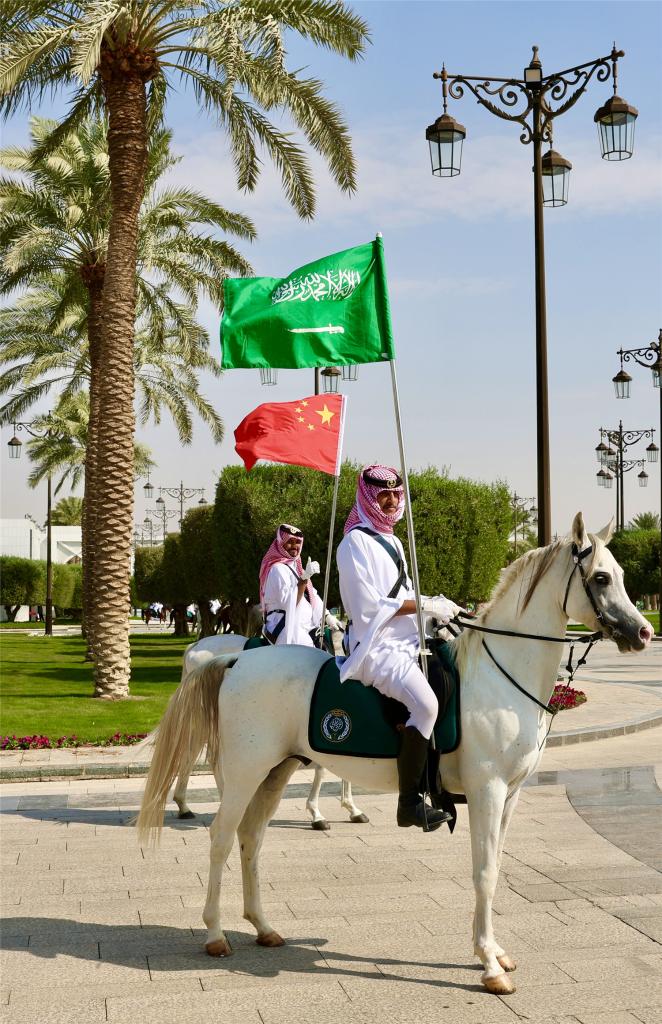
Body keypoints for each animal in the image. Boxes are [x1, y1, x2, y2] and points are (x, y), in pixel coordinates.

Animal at [170, 631, 369, 830]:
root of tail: (196, 645)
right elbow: (321, 771)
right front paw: (317, 814)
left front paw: (352, 809)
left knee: (192, 754)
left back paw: (186, 805)